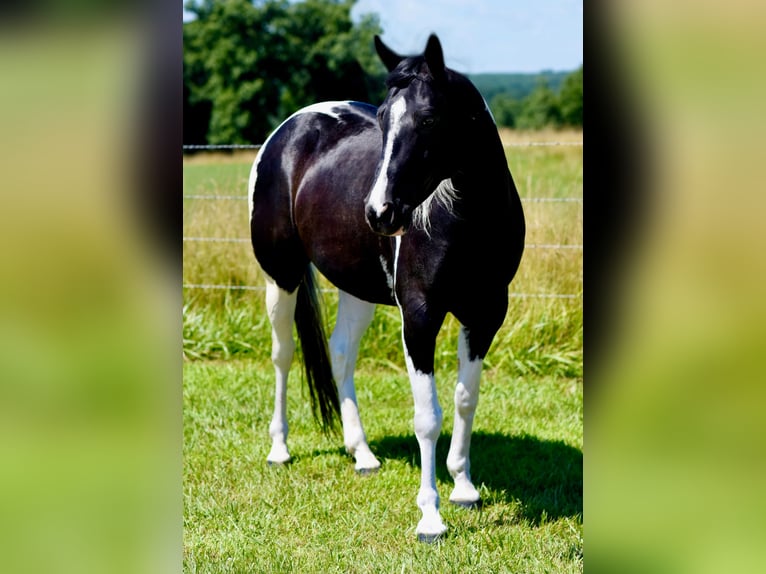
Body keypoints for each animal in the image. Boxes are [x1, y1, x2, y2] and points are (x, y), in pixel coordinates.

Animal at [248, 34, 525, 542]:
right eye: (381, 118)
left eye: (429, 118)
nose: (379, 213)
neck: (464, 221)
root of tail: (292, 127)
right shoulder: (419, 317)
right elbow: (428, 417)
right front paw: (431, 517)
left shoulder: (484, 315)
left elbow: (466, 399)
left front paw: (464, 487)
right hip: (282, 274)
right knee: (282, 353)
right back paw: (280, 449)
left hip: (356, 287)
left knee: (340, 352)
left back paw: (362, 454)